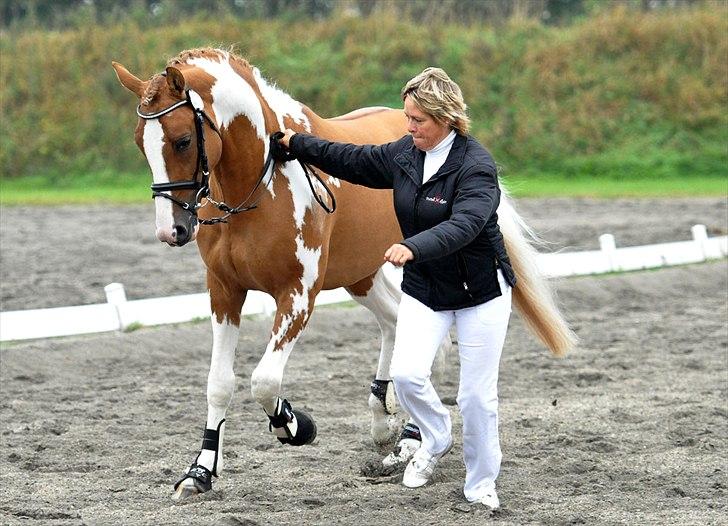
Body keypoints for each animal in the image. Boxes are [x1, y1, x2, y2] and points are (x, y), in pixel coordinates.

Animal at [111, 49, 576, 504]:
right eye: (139, 142)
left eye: (183, 140)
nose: (171, 231)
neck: (259, 185)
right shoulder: (225, 292)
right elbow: (219, 384)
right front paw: (201, 472)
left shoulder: (298, 295)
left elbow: (264, 382)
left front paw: (294, 425)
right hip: (362, 277)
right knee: (396, 326)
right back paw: (387, 424)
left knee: (424, 343)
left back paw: (409, 435)